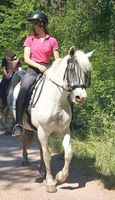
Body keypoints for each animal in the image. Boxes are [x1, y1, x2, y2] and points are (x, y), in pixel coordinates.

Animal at [12, 46, 93, 192]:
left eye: (86, 73)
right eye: (71, 70)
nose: (81, 98)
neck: (56, 100)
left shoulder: (64, 130)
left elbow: (68, 153)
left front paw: (60, 178)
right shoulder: (43, 130)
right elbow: (47, 155)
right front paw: (50, 183)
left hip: (37, 130)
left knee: (39, 147)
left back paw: (42, 169)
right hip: (27, 127)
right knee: (23, 140)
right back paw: (25, 159)